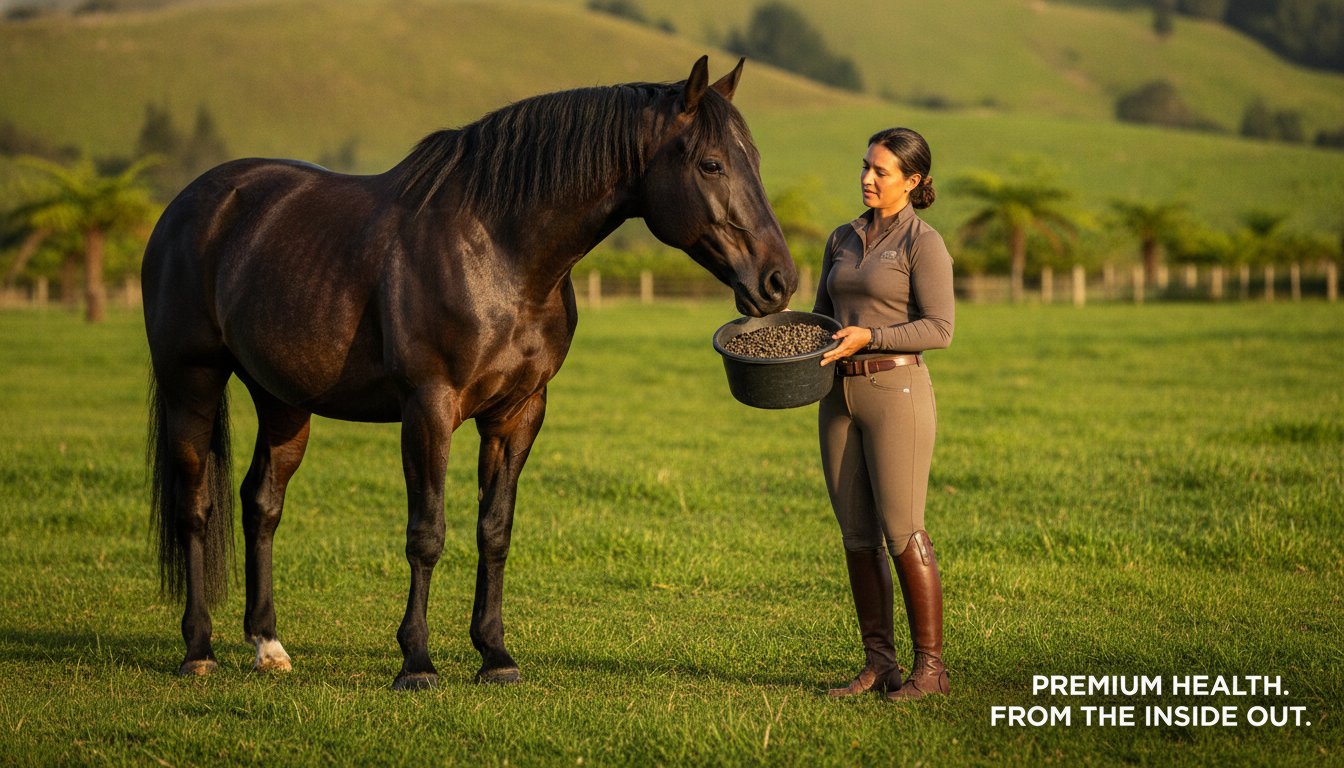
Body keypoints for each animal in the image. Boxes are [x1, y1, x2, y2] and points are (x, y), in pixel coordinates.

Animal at [142, 56, 796, 689]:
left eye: (756, 160)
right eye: (711, 164)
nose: (779, 280)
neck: (497, 252)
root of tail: (188, 205)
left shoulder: (518, 413)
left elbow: (495, 529)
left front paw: (495, 655)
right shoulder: (428, 408)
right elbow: (427, 533)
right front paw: (417, 662)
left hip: (283, 400)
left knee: (262, 503)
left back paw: (267, 646)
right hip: (191, 383)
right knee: (196, 505)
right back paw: (198, 650)